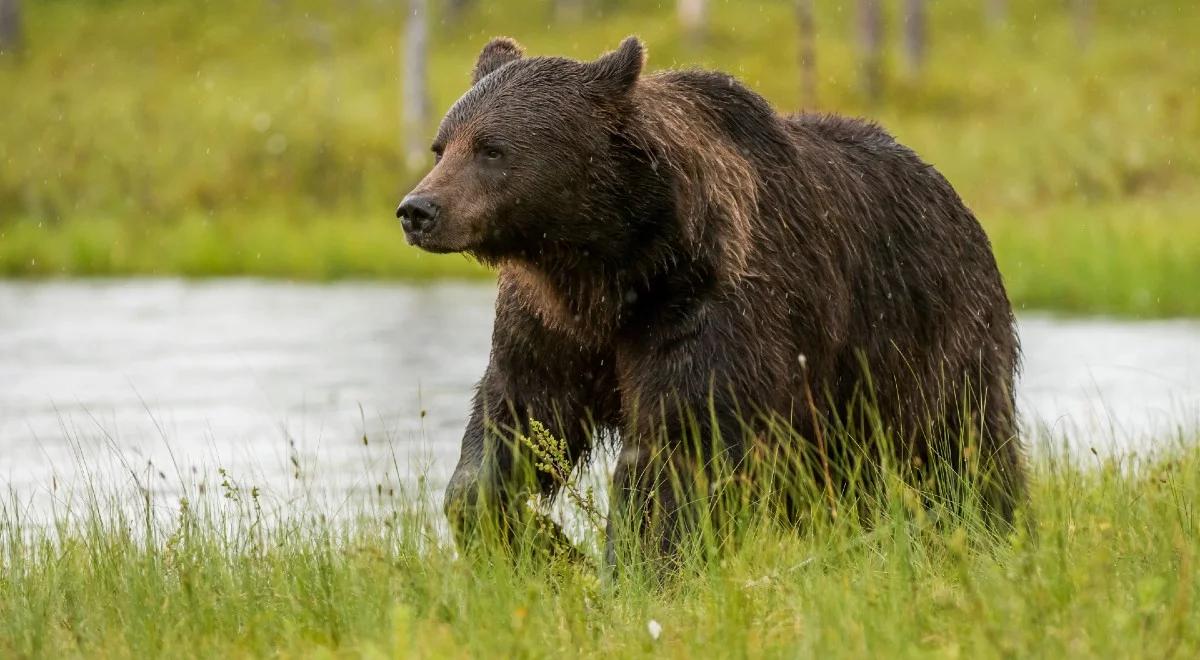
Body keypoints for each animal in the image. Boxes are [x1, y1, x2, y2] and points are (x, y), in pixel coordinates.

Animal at [398, 34, 1027, 564]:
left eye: (491, 149)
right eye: (441, 146)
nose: (417, 209)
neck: (614, 265)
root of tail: (957, 201)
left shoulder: (709, 306)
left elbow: (679, 448)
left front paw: (636, 567)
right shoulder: (550, 325)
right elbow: (516, 419)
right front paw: (543, 545)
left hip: (926, 332)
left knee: (965, 446)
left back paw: (994, 529)